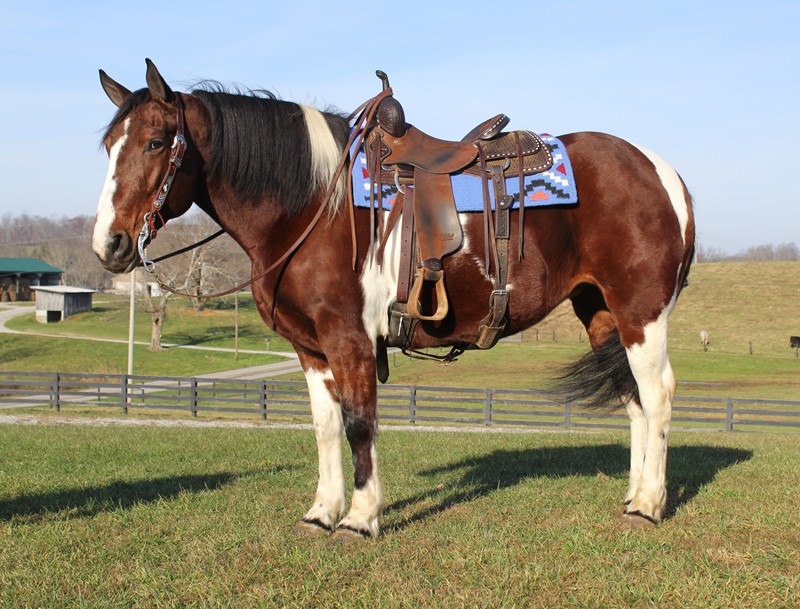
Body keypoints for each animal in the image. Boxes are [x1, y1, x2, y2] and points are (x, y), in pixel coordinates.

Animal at [93, 59, 695, 540]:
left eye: (154, 143)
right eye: (107, 147)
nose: (109, 244)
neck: (313, 203)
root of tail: (662, 171)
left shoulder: (350, 339)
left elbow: (360, 423)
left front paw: (360, 518)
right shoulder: (311, 350)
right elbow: (325, 427)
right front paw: (322, 511)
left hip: (641, 313)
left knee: (658, 395)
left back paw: (649, 505)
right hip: (601, 313)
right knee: (634, 400)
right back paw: (634, 496)